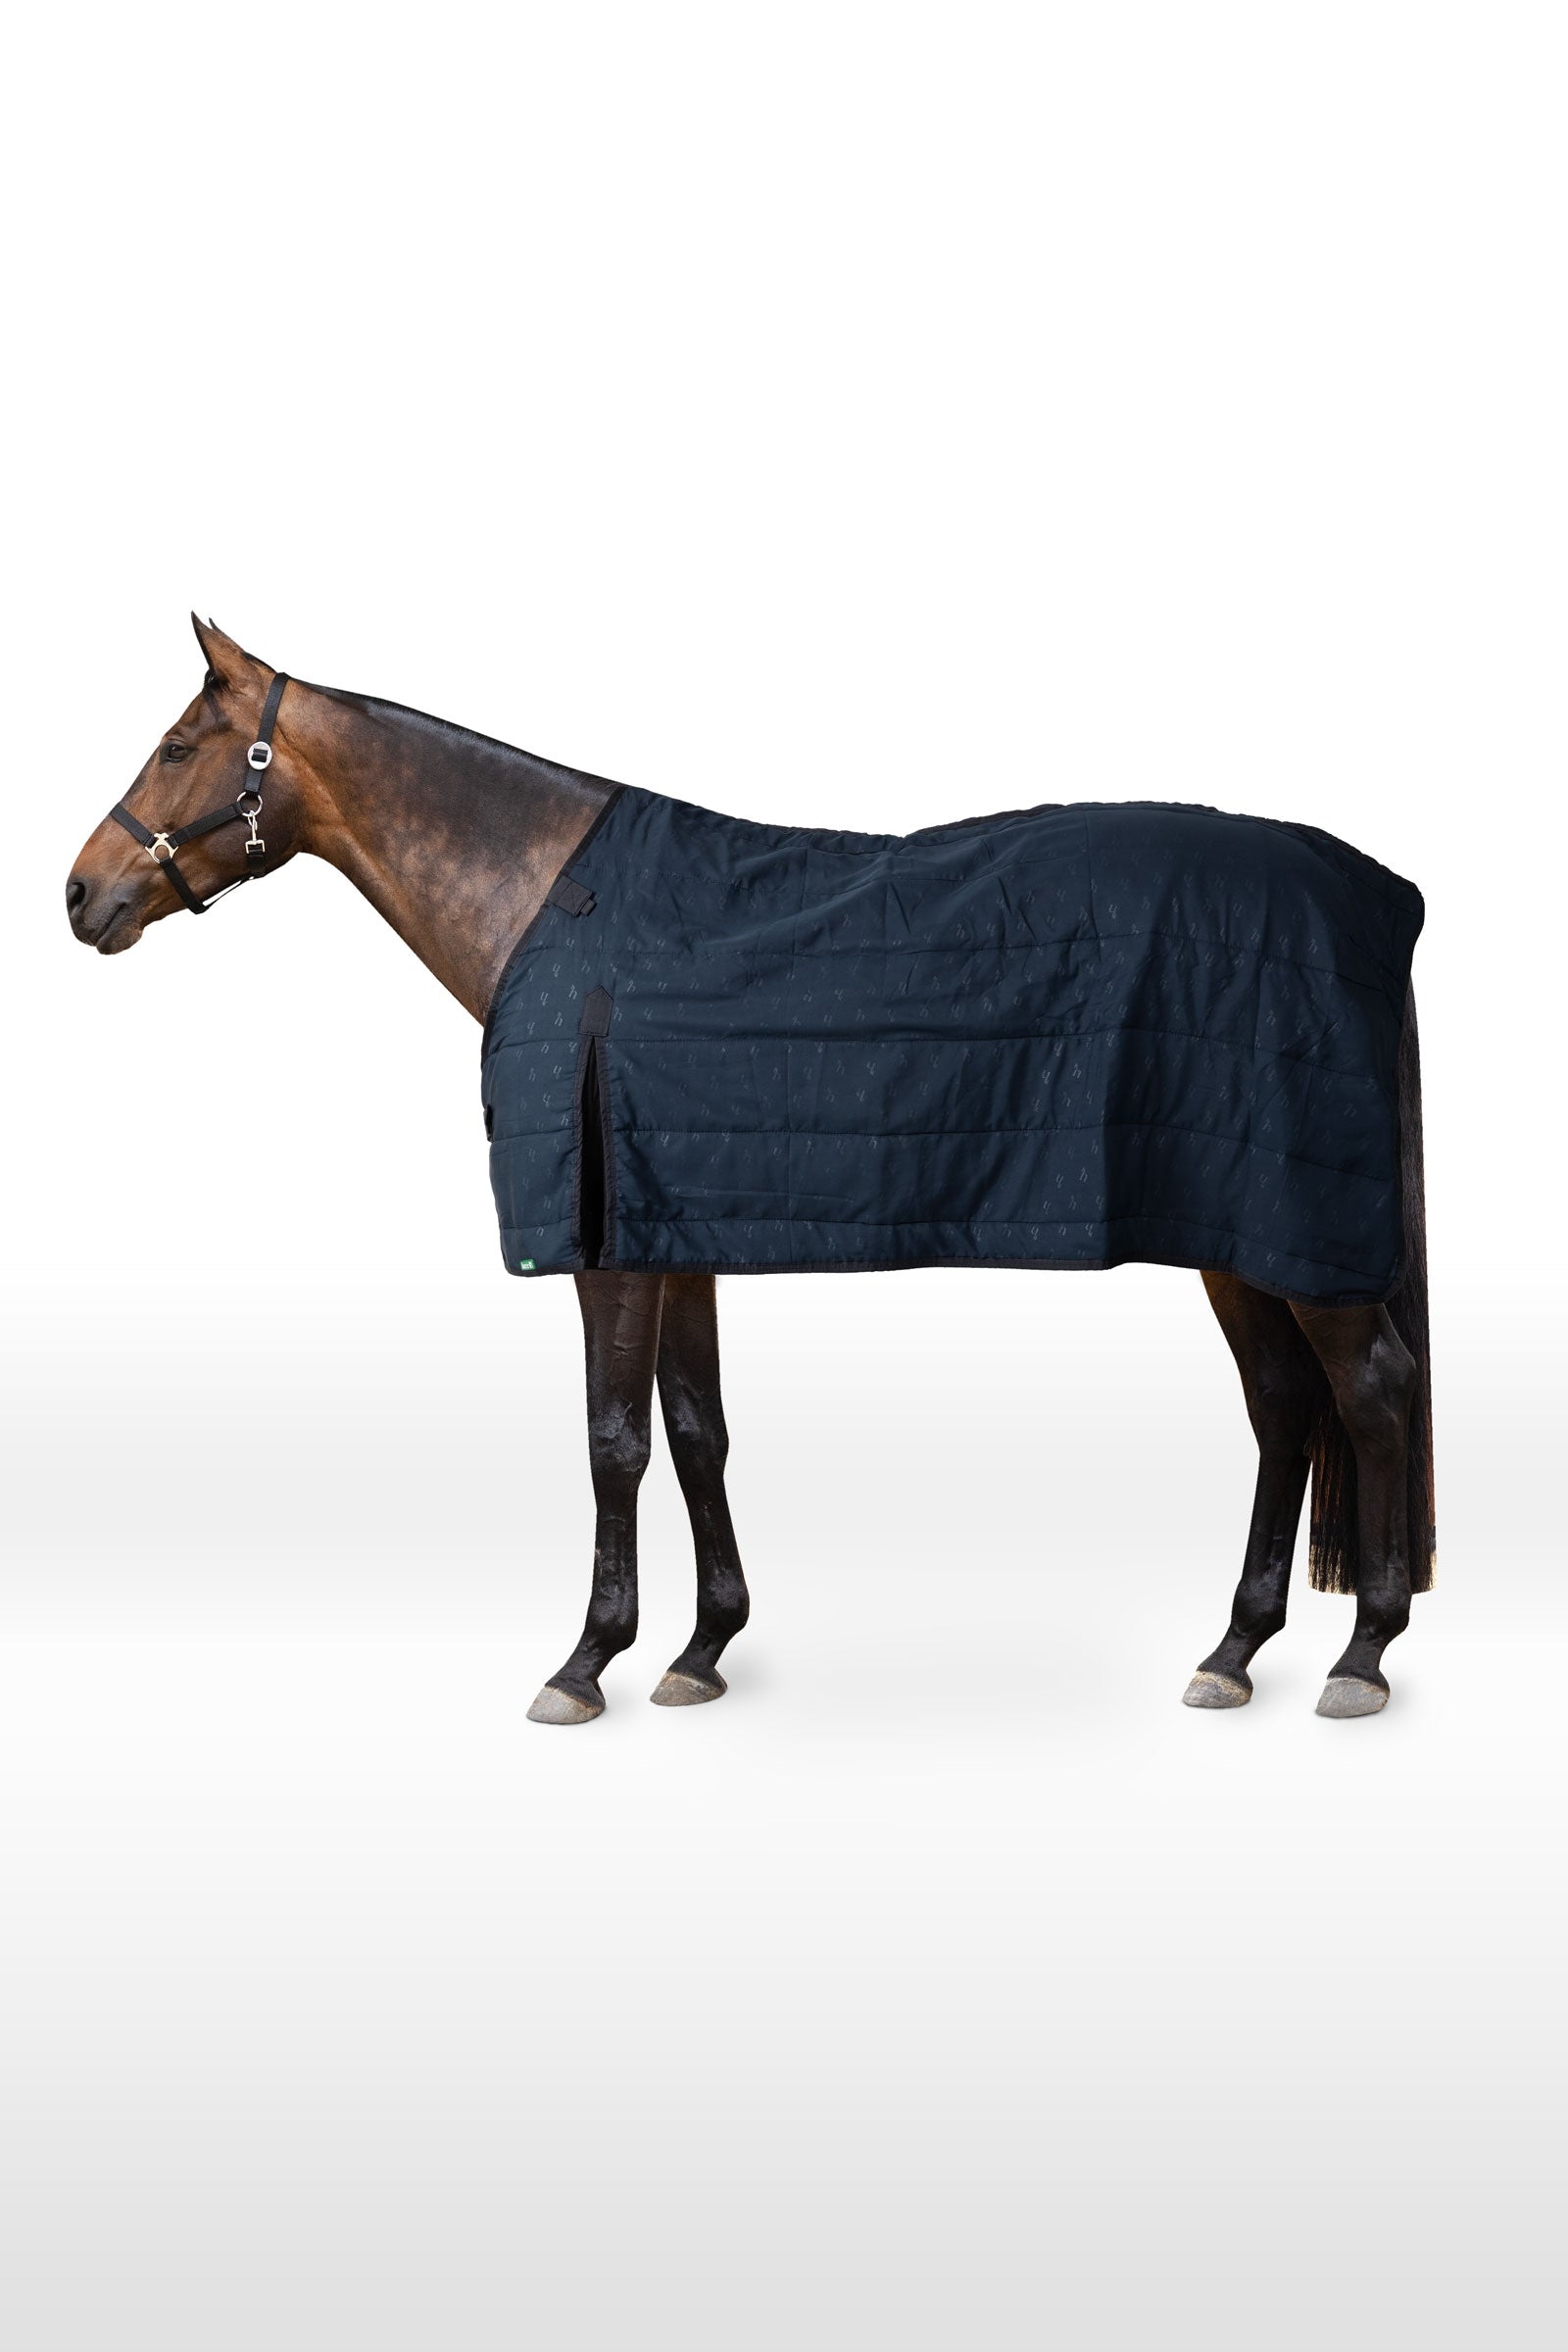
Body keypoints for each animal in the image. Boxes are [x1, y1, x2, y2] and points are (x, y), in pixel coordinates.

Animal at [66, 618, 1435, 1725]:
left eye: (180, 746)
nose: (80, 895)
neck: (555, 904)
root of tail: (1373, 894)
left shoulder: (602, 1246)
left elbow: (613, 1439)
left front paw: (586, 1663)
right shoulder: (678, 1234)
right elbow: (696, 1430)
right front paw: (701, 1649)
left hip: (1297, 1235)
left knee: (1369, 1392)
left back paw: (1361, 1655)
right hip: (1241, 1233)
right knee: (1284, 1406)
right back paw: (1235, 1650)